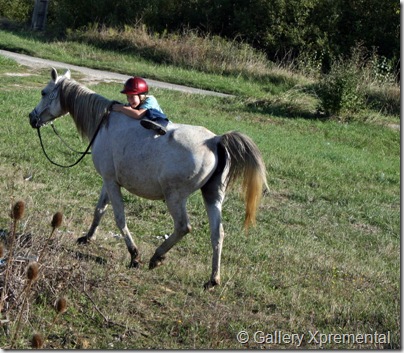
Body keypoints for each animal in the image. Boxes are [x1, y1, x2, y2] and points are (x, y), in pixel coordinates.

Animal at [29, 67, 268, 288]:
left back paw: (157, 257)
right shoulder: (109, 180)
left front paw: (134, 255)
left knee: (183, 227)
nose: (32, 118)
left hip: (175, 198)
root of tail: (215, 141)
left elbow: (119, 218)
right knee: (217, 234)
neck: (103, 123)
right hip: (212, 196)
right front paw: (87, 237)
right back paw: (212, 279)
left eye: (44, 92)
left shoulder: (111, 182)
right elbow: (99, 210)